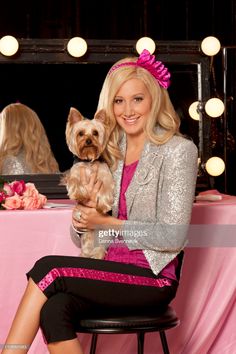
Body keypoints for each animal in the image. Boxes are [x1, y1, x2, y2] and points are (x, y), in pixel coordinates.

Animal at [62, 106, 114, 258]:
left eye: (95, 133)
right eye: (80, 133)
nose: (89, 141)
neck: (88, 161)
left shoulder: (106, 176)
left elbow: (106, 189)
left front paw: (103, 206)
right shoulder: (75, 172)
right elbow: (73, 180)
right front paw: (79, 194)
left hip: (103, 240)